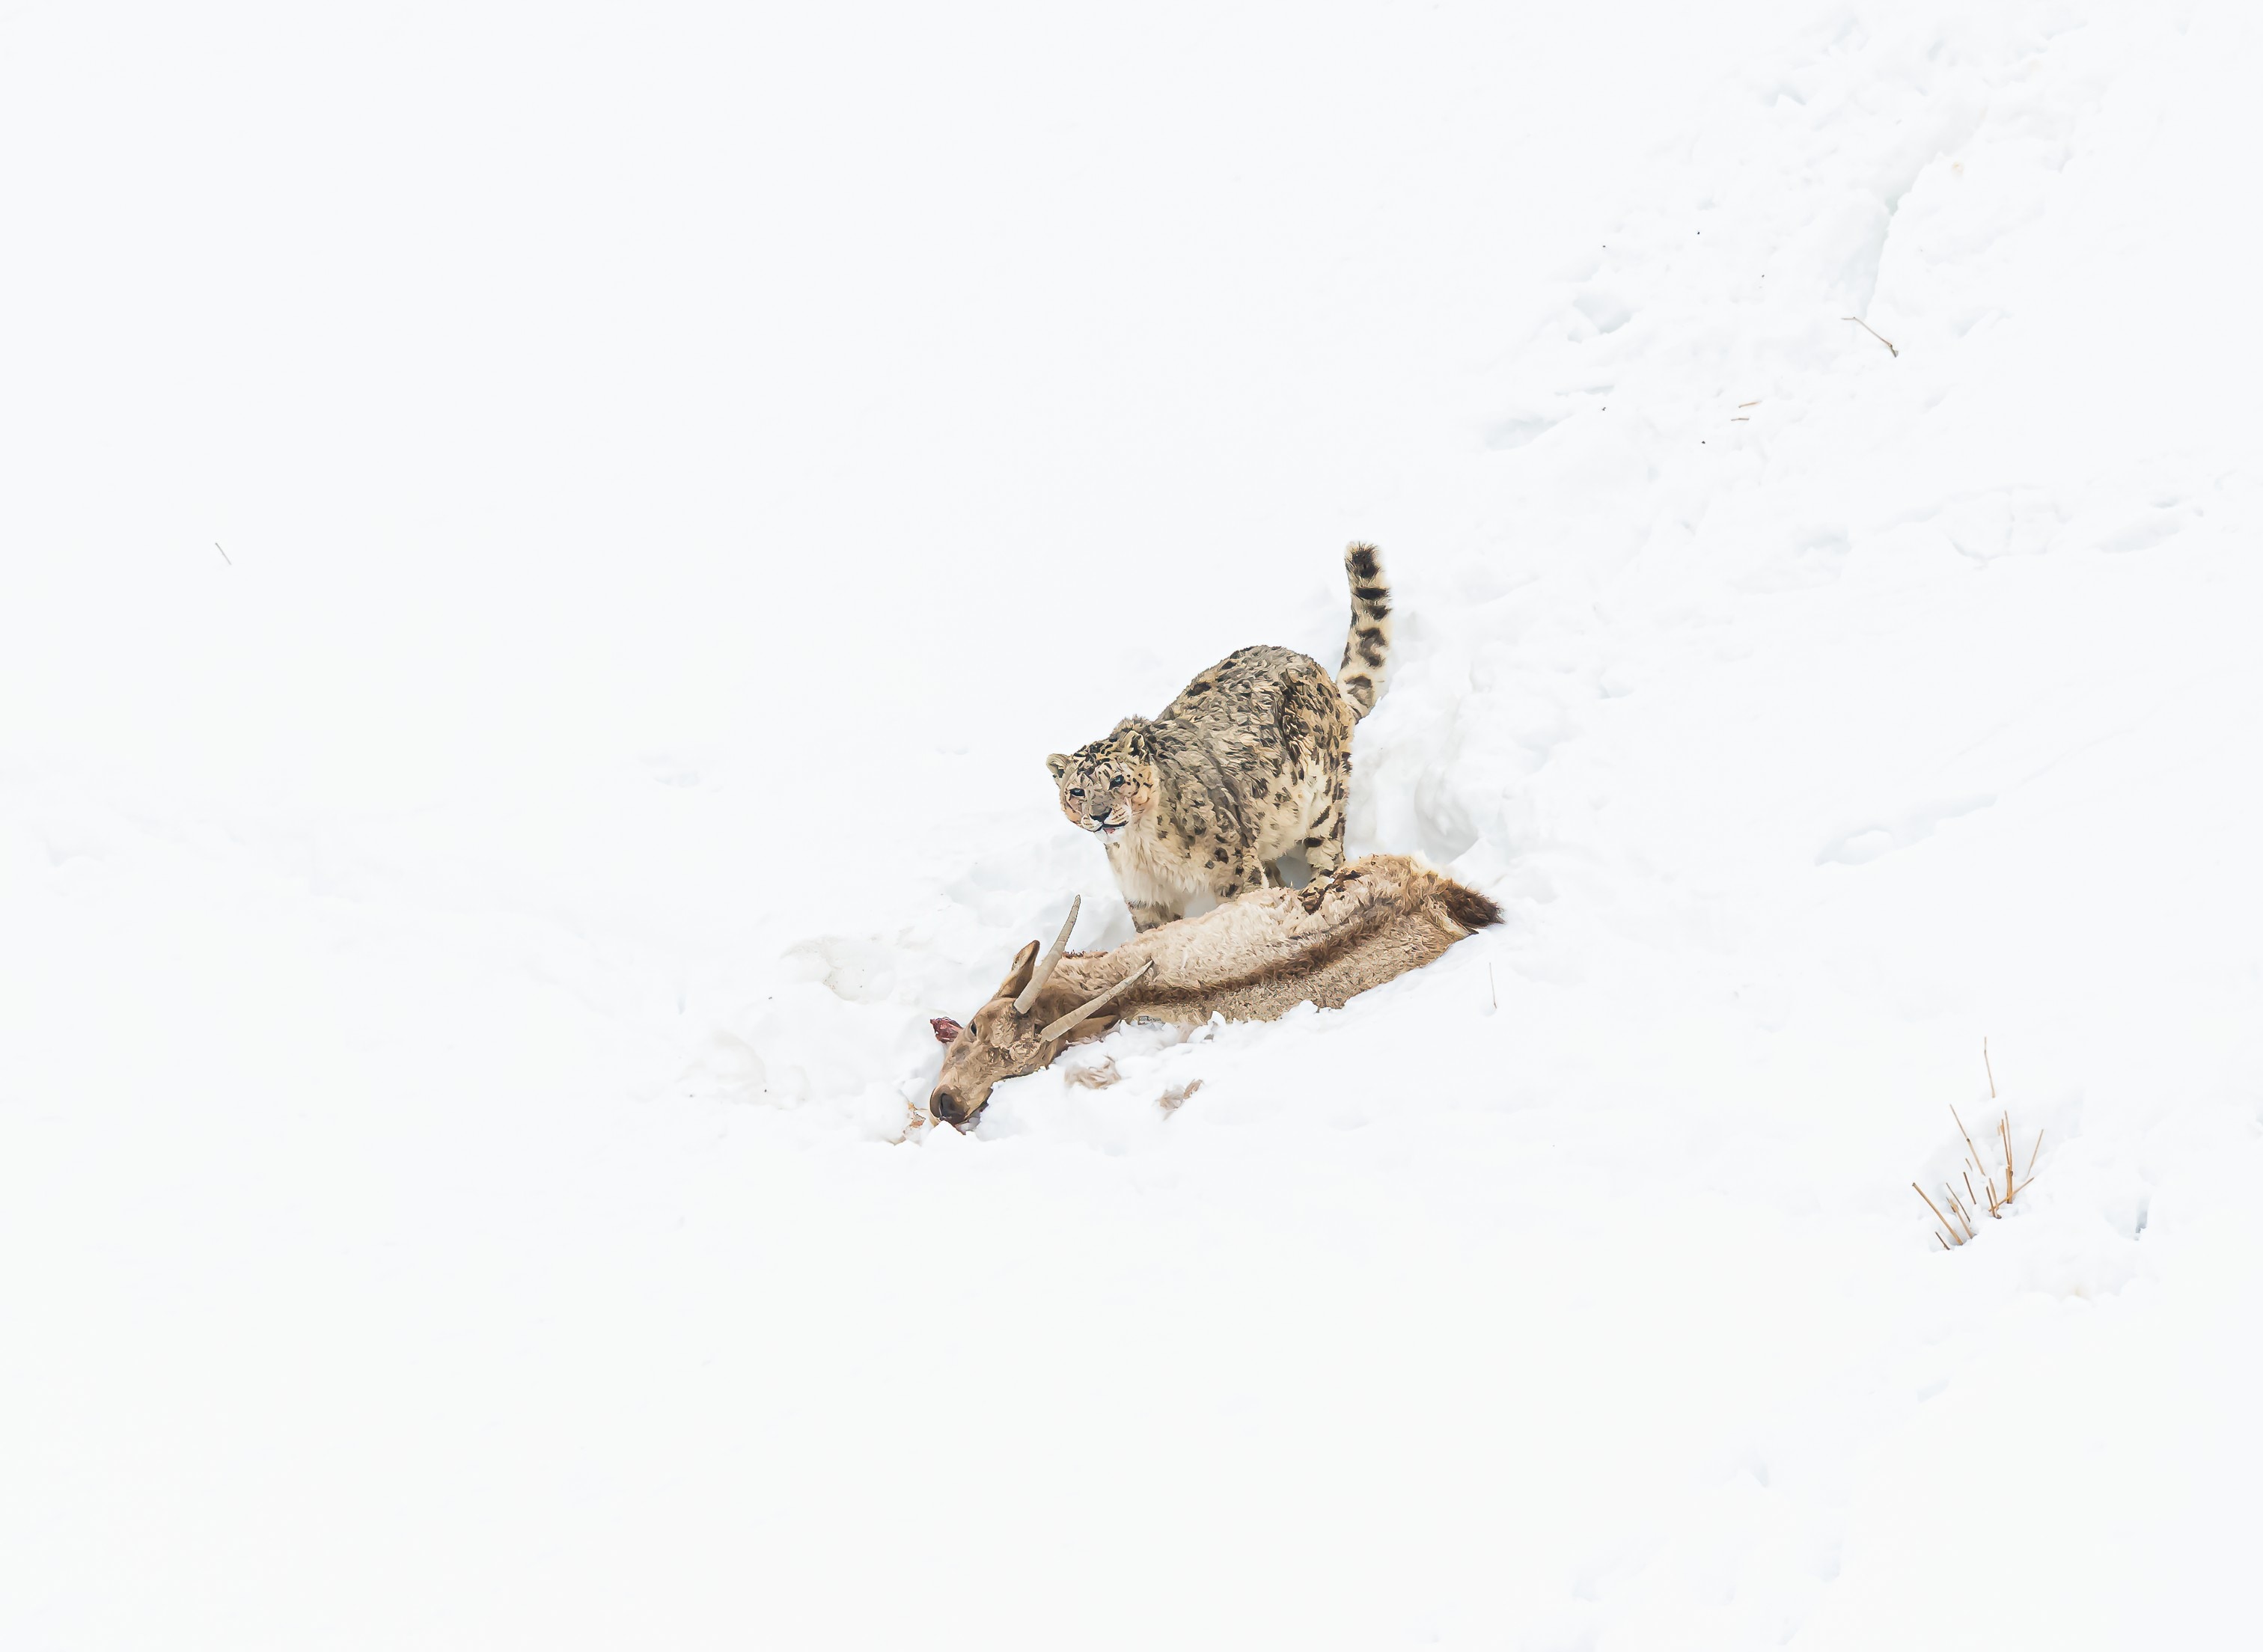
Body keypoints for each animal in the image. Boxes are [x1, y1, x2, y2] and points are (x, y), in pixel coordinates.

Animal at [1046, 542, 1393, 932]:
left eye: (1118, 780)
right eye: (1076, 791)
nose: (1101, 814)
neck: (1142, 849)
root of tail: (1322, 677)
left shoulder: (1234, 868)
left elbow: (1245, 904)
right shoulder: (1145, 898)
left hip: (1321, 792)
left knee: (1329, 847)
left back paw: (1318, 888)